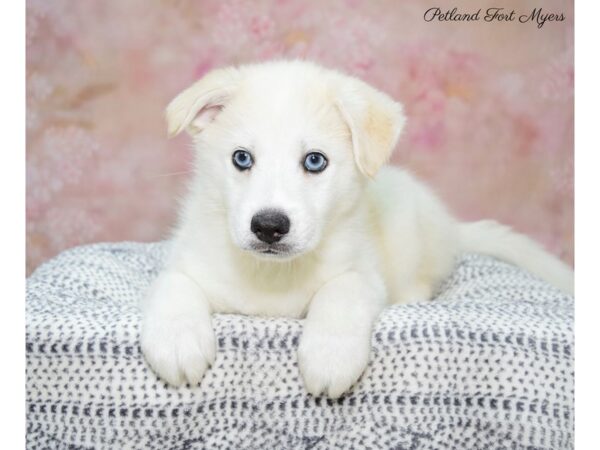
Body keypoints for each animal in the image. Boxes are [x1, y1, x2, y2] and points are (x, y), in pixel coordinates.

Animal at [139, 59, 572, 398]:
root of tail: (450, 228)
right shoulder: (187, 261)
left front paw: (330, 357)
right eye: (241, 158)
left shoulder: (362, 273)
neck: (273, 275)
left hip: (412, 233)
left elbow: (340, 294)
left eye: (315, 161)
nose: (269, 226)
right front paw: (177, 343)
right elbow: (173, 286)